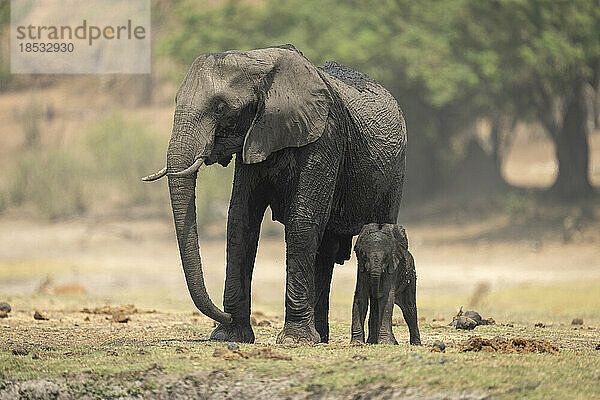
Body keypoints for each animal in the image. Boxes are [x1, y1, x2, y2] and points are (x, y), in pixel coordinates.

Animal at [144, 43, 408, 344]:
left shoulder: (325, 137)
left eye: (221, 107)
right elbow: (240, 220)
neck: (258, 61)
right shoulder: (254, 140)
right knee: (325, 249)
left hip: (395, 173)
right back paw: (321, 337)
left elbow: (302, 222)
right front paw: (228, 336)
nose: (223, 315)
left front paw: (294, 340)